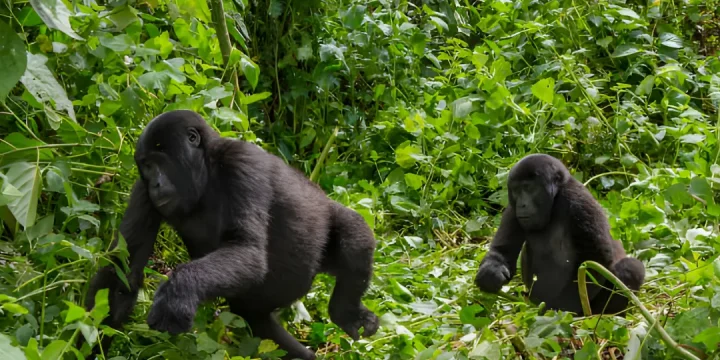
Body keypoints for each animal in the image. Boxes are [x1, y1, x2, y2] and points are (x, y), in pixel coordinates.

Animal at [85, 110, 382, 360]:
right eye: (146, 167)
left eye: (159, 163)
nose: (155, 184)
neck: (206, 168)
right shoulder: (143, 190)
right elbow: (122, 270)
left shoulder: (240, 162)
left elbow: (246, 248)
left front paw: (177, 293)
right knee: (255, 319)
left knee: (354, 234)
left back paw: (346, 312)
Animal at [472, 155, 648, 316]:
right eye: (516, 190)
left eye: (529, 188)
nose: (522, 204)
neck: (555, 198)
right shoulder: (512, 208)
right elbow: (503, 251)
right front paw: (490, 274)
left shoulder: (578, 201)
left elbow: (595, 260)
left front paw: (562, 307)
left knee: (630, 267)